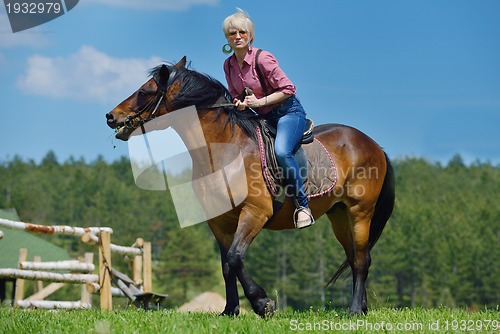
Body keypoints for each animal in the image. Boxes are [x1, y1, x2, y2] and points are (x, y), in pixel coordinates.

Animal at [104, 56, 394, 316]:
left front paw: (261, 303)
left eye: (145, 91)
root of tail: (373, 144)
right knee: (356, 256)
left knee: (360, 259)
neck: (224, 150)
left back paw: (354, 311)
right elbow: (226, 265)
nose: (110, 116)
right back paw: (363, 308)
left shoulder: (255, 212)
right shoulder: (218, 221)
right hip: (339, 215)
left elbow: (235, 257)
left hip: (360, 212)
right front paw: (230, 309)